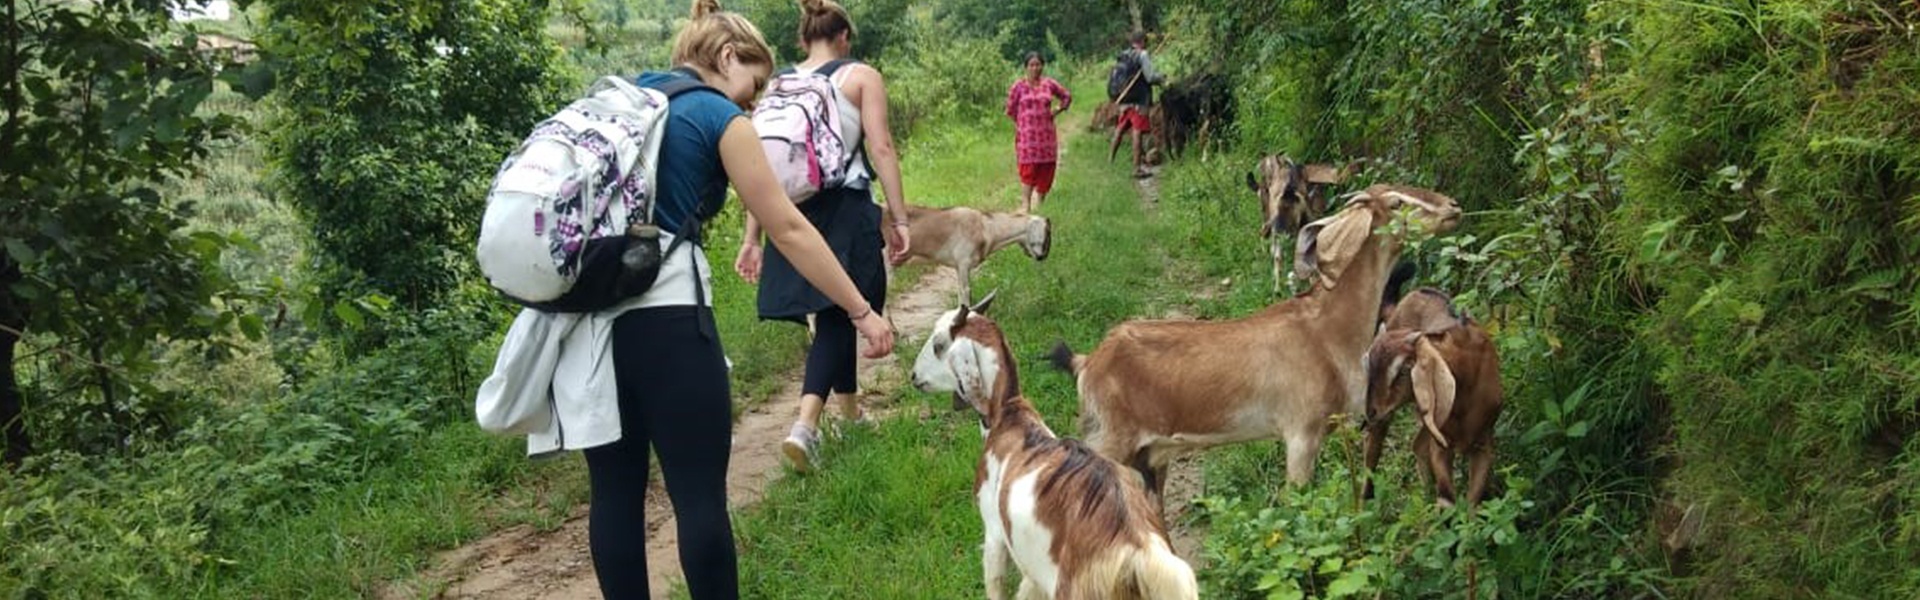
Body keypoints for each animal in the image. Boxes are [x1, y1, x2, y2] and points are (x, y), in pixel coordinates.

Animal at [883, 203, 1052, 303]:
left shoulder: (959, 268)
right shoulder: (963, 263)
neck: (986, 227)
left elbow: (960, 293)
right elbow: (966, 292)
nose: (1042, 256)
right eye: (1047, 232)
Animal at [913, 298, 1198, 596]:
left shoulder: (993, 533)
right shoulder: (1033, 575)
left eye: (938, 344)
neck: (1008, 416)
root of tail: (1138, 553)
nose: (914, 376)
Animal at [1044, 185, 1459, 503]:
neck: (1325, 331)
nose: (1453, 208)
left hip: (1150, 459)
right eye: (1397, 202)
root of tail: (1086, 363)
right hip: (1107, 444)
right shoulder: (1301, 433)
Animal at [1359, 288, 1505, 507]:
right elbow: (1447, 498)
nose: (1370, 411)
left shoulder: (1484, 443)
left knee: (1417, 445)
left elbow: (1472, 502)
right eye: (1369, 368)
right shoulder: (1441, 445)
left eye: (1404, 370)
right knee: (1372, 457)